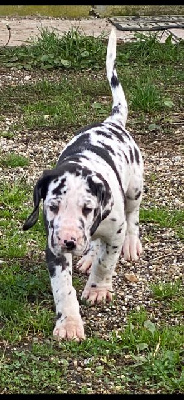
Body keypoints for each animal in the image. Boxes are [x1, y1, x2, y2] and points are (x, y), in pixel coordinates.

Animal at [23, 28, 144, 340]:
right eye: (52, 206)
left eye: (87, 209)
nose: (69, 241)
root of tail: (112, 121)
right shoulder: (53, 248)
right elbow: (63, 288)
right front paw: (69, 323)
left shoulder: (113, 231)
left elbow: (106, 262)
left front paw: (98, 289)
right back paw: (87, 255)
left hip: (134, 188)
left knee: (133, 215)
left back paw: (131, 244)